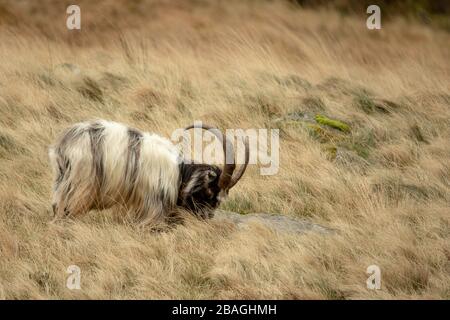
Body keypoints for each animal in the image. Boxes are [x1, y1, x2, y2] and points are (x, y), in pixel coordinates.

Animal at [48, 119, 250, 225]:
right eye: (209, 193)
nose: (205, 219)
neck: (179, 175)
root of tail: (65, 144)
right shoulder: (152, 205)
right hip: (80, 187)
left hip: (63, 184)